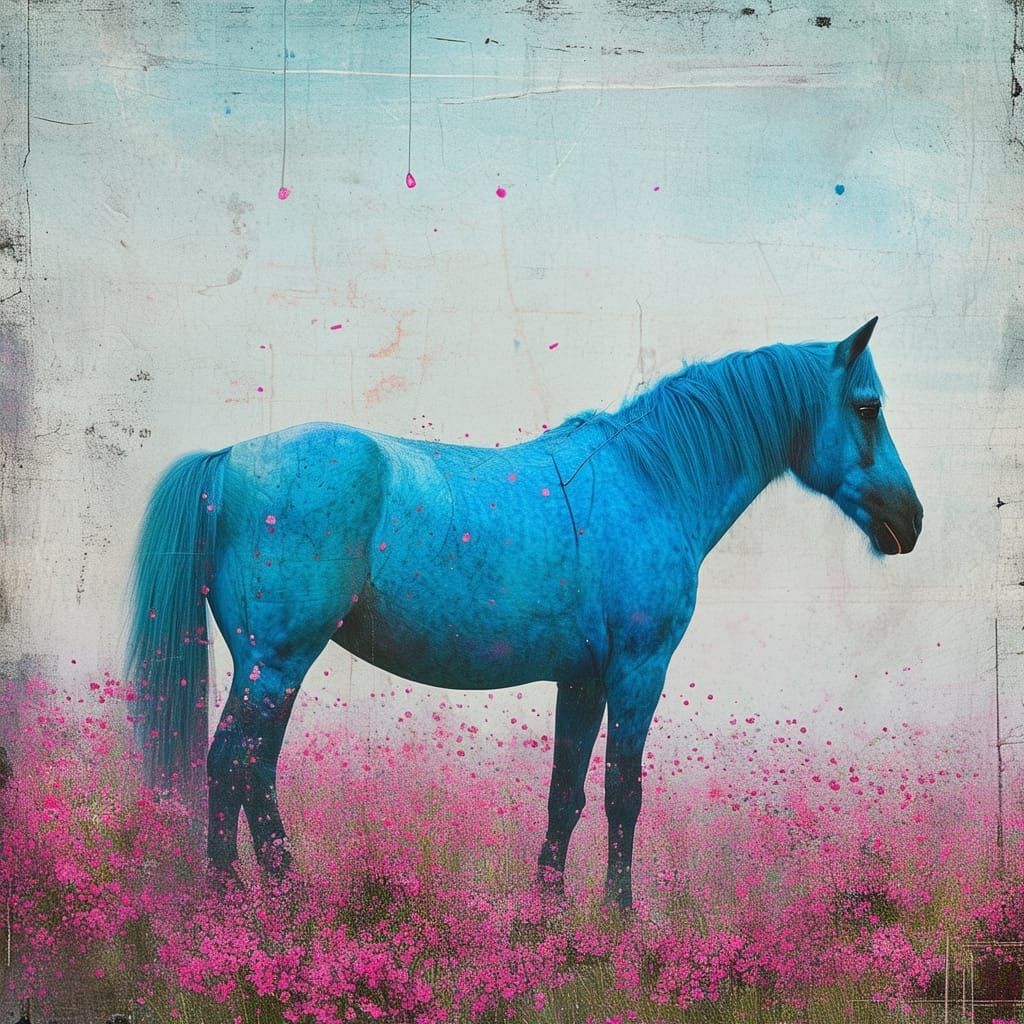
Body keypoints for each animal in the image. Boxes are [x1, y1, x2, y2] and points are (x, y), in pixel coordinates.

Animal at [126, 317, 922, 909]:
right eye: (867, 407)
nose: (909, 520)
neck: (651, 479)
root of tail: (230, 458)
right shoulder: (639, 672)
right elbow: (623, 792)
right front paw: (617, 918)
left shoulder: (584, 679)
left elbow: (565, 791)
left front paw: (548, 913)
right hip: (276, 660)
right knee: (231, 762)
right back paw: (236, 900)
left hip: (276, 666)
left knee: (254, 767)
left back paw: (289, 893)